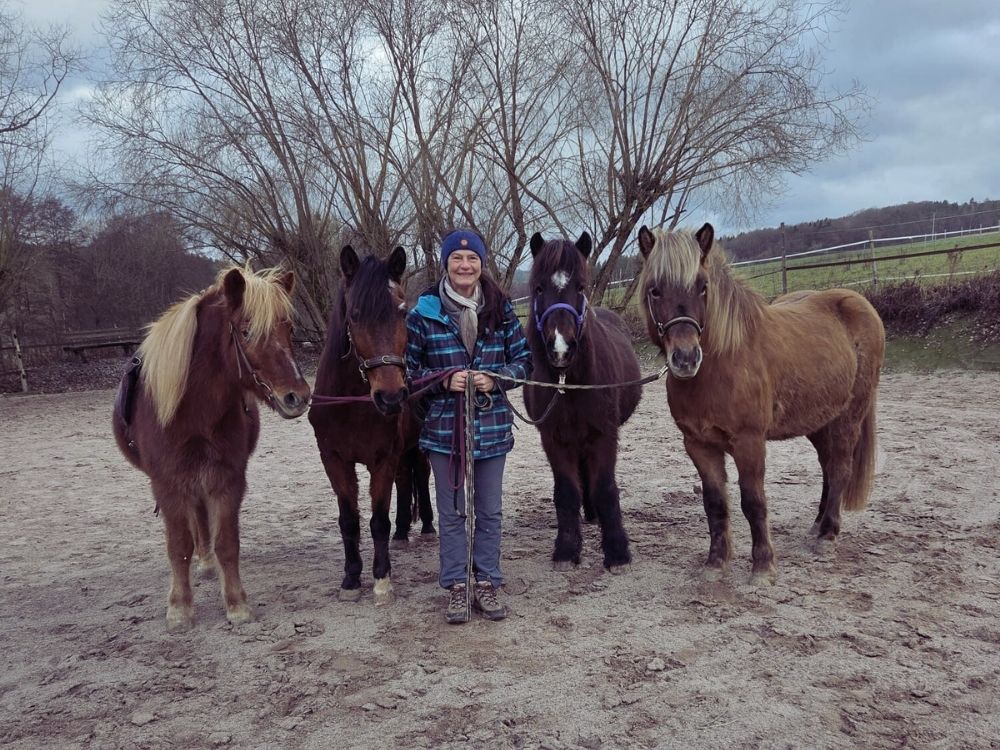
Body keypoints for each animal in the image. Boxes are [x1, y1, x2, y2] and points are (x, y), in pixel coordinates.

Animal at [112, 267, 311, 632]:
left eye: (288, 329)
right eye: (246, 331)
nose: (297, 397)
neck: (194, 412)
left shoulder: (227, 479)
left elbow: (227, 543)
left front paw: (236, 603)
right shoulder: (168, 484)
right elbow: (178, 546)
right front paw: (179, 608)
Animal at [308, 245, 433, 607]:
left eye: (402, 313)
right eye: (355, 314)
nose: (391, 397)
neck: (351, 403)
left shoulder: (382, 459)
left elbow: (378, 520)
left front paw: (381, 581)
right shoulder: (334, 460)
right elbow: (349, 520)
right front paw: (351, 579)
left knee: (420, 475)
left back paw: (427, 527)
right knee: (406, 481)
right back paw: (403, 533)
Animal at [523, 231, 642, 571]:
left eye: (580, 287)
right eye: (539, 288)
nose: (561, 348)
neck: (571, 382)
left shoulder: (604, 434)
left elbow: (605, 488)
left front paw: (617, 552)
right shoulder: (554, 438)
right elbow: (566, 492)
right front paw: (566, 550)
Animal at [637, 223, 885, 584]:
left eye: (702, 286)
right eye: (655, 290)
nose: (685, 358)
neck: (723, 363)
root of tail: (859, 304)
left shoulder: (749, 442)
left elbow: (753, 502)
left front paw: (763, 566)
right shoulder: (698, 445)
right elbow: (715, 504)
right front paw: (715, 563)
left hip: (848, 417)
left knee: (840, 468)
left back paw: (827, 535)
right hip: (819, 420)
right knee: (828, 466)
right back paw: (817, 525)